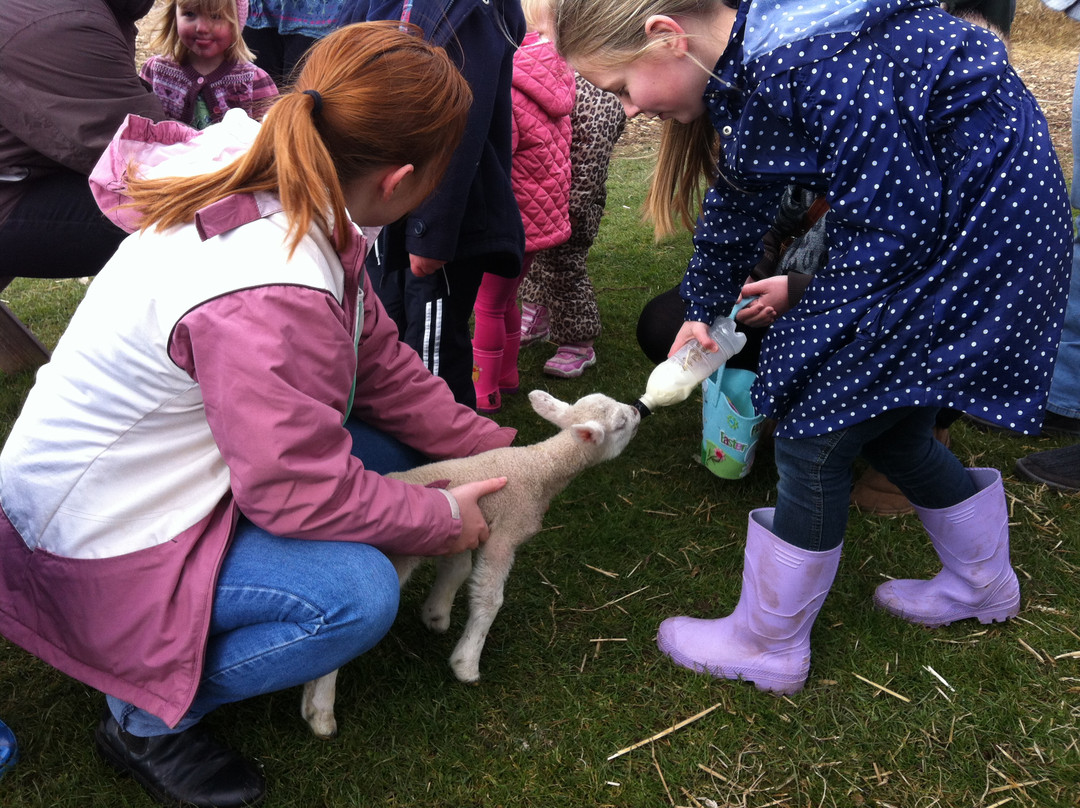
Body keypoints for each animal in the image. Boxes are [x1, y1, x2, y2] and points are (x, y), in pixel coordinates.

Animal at [300, 391, 635, 738]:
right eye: (621, 423)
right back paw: (320, 712)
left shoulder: (463, 527)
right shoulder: (505, 532)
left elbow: (457, 570)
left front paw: (436, 615)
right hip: (396, 556)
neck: (540, 466)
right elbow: (488, 599)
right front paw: (466, 664)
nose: (638, 410)